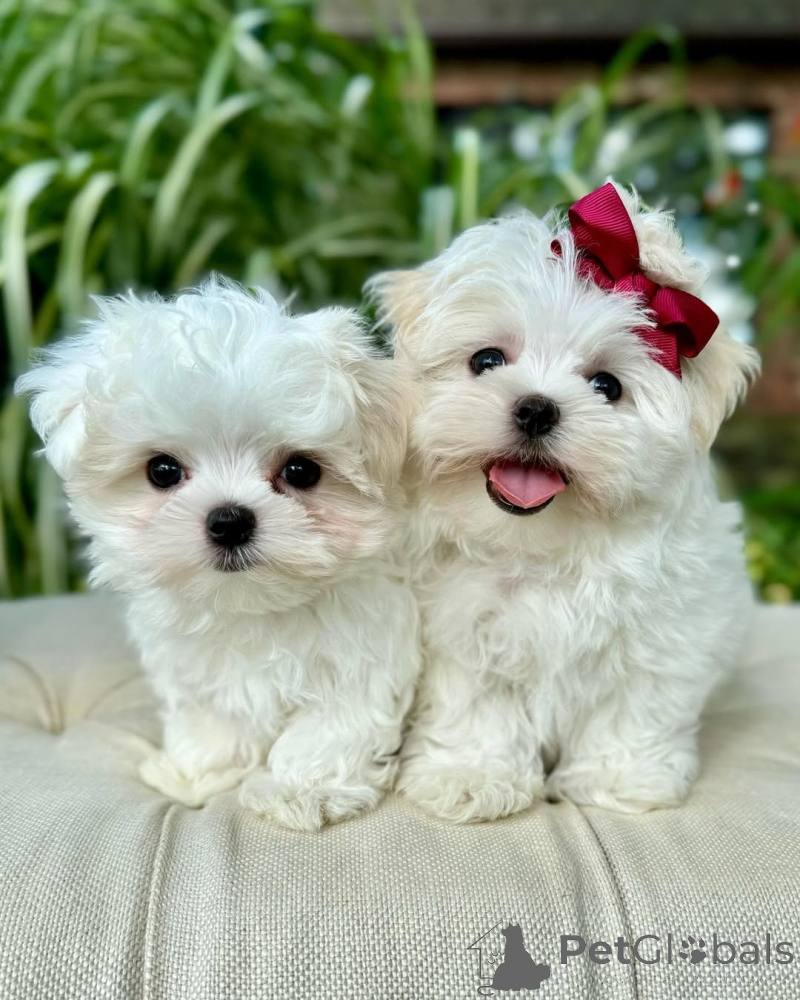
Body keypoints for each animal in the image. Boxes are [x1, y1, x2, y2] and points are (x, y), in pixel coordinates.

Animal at [17, 279, 418, 830]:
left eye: (301, 471)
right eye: (162, 470)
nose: (229, 520)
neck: (251, 607)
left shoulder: (364, 658)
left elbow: (329, 728)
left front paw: (301, 789)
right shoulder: (196, 668)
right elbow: (214, 721)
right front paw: (199, 773)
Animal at [369, 182, 760, 823]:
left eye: (607, 386)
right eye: (486, 360)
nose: (536, 408)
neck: (543, 550)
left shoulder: (664, 636)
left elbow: (633, 706)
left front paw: (619, 778)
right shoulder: (463, 631)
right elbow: (476, 706)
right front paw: (470, 774)